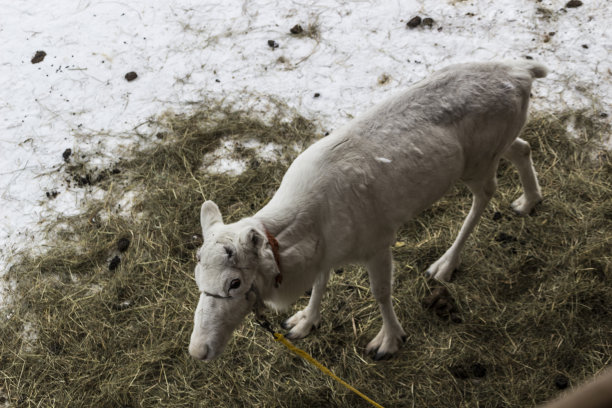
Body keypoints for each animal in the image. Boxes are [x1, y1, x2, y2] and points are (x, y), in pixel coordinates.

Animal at [189, 60, 548, 360]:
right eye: (197, 277)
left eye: (235, 283)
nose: (198, 350)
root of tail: (523, 74)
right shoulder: (327, 253)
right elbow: (320, 284)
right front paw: (303, 322)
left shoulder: (377, 242)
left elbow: (381, 293)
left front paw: (389, 341)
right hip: (495, 148)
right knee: (523, 147)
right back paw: (528, 201)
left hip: (478, 162)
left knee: (486, 194)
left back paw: (445, 263)